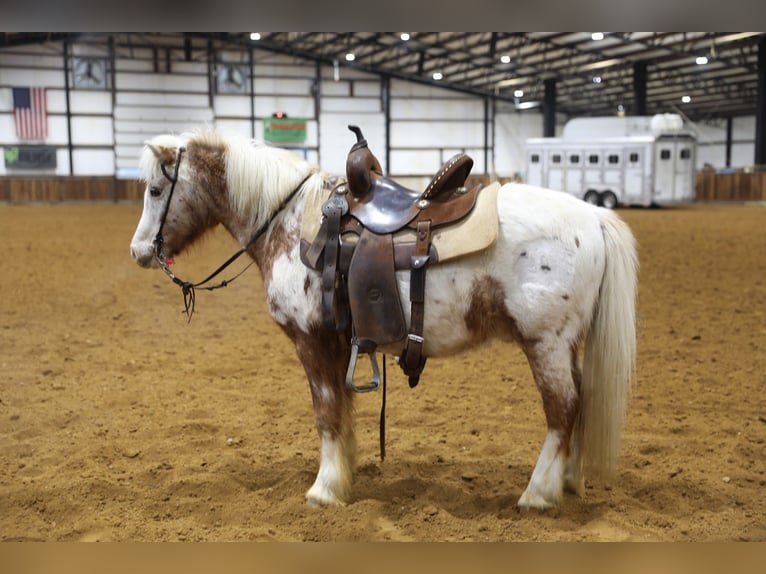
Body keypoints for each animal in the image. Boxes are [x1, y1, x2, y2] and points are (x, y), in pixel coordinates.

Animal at [129, 127, 638, 510]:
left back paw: (539, 493)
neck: (290, 221)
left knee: (563, 409)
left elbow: (326, 411)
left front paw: (324, 489)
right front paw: (344, 475)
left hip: (545, 343)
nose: (138, 252)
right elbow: (343, 412)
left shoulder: (311, 341)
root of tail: (593, 216)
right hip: (564, 346)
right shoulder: (339, 344)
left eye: (155, 190)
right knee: (581, 402)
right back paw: (569, 482)